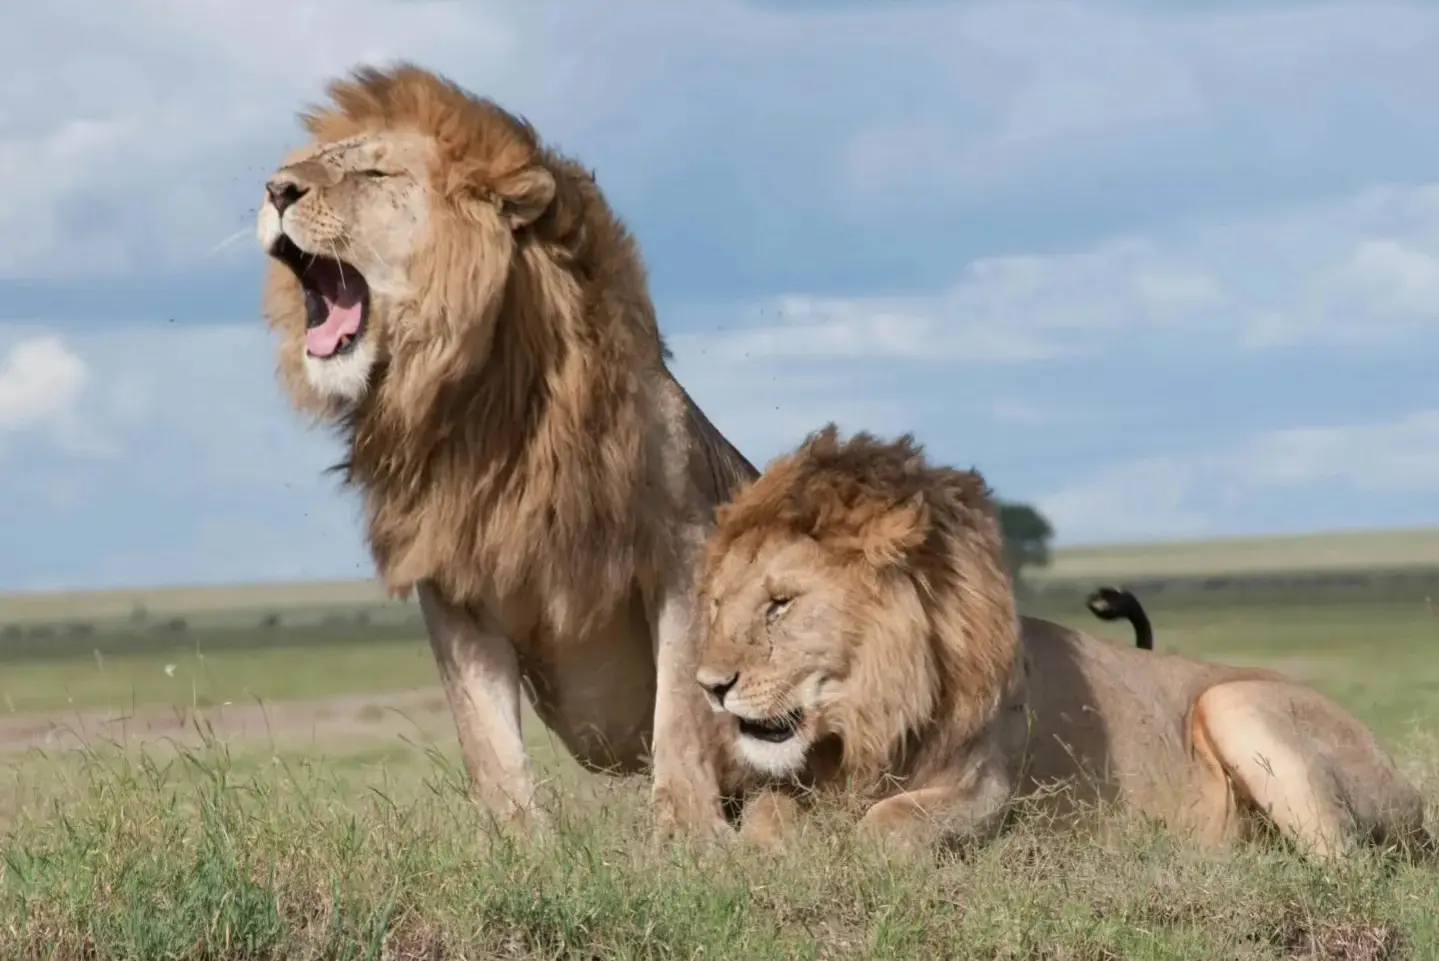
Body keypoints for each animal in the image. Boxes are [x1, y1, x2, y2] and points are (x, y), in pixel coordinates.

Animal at [255, 63, 758, 838]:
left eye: (373, 172)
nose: (276, 189)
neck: (480, 407)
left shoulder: (682, 549)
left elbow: (680, 709)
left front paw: (688, 834)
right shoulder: (453, 579)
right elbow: (485, 735)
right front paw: (519, 843)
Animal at [695, 426, 1431, 860]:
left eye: (780, 604)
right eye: (718, 604)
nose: (709, 687)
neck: (868, 718)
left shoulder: (985, 788)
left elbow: (886, 825)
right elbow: (765, 815)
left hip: (1235, 702)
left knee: (1345, 865)